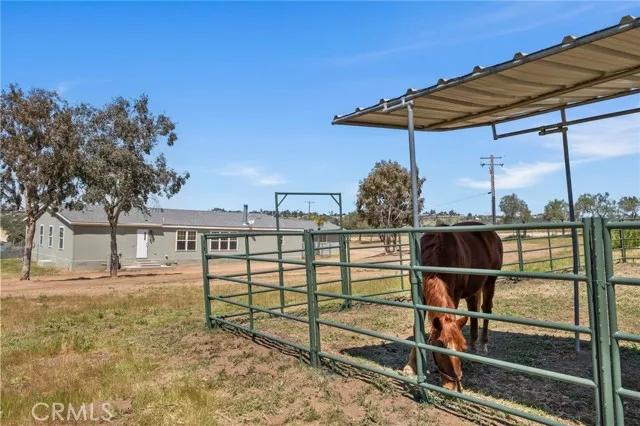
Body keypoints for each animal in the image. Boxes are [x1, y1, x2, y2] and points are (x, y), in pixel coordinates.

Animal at [402, 223, 502, 392]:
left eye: (461, 349)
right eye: (440, 349)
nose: (454, 387)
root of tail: (492, 234)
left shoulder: (455, 293)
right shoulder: (419, 296)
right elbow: (417, 329)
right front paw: (410, 367)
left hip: (490, 280)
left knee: (486, 309)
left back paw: (482, 346)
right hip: (474, 287)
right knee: (473, 310)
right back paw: (474, 346)